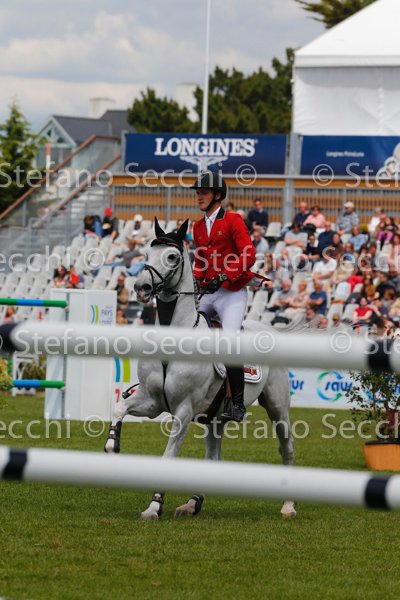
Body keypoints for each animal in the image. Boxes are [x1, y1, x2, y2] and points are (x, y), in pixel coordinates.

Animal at [104, 218, 296, 520]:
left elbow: (168, 457)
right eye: (147, 253)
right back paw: (192, 503)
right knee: (213, 458)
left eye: (172, 256)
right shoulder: (152, 400)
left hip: (278, 408)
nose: (142, 287)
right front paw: (112, 445)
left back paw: (288, 505)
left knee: (286, 446)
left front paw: (154, 506)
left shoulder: (183, 411)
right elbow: (119, 408)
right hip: (214, 419)